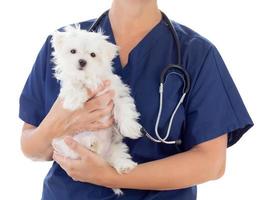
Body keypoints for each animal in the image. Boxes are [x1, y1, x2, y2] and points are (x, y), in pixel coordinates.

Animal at [50, 25, 142, 195]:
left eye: (93, 54)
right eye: (73, 51)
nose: (82, 61)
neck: (89, 78)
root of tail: (102, 155)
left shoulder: (115, 92)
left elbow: (124, 107)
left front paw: (130, 128)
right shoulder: (70, 84)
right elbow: (74, 85)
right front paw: (74, 100)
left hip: (114, 147)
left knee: (117, 156)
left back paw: (123, 165)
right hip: (65, 142)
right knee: (75, 146)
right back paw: (90, 142)